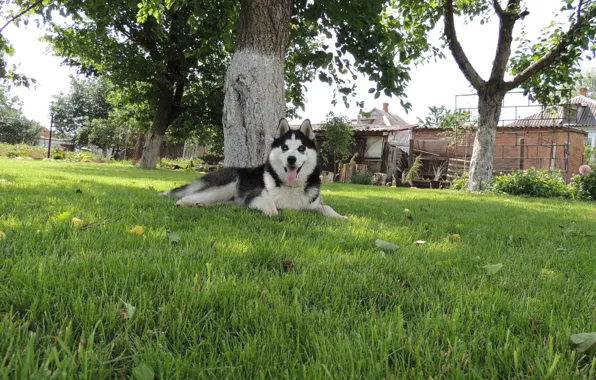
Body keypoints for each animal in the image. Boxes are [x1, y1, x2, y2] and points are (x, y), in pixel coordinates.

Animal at [162, 119, 350, 220]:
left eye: (301, 148)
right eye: (284, 147)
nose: (291, 158)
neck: (290, 186)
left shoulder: (312, 204)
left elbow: (327, 208)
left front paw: (339, 216)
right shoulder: (253, 196)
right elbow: (268, 201)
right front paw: (272, 211)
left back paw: (202, 205)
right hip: (227, 186)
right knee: (191, 195)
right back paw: (184, 202)